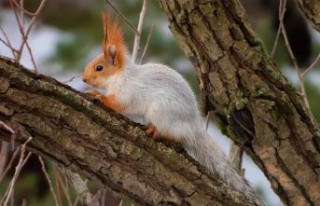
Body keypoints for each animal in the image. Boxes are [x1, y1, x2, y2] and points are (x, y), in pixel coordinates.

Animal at [81, 13, 264, 206]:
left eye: (99, 68)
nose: (83, 78)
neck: (120, 76)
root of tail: (194, 126)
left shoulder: (128, 93)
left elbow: (119, 104)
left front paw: (98, 96)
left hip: (162, 111)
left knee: (178, 135)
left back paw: (158, 132)